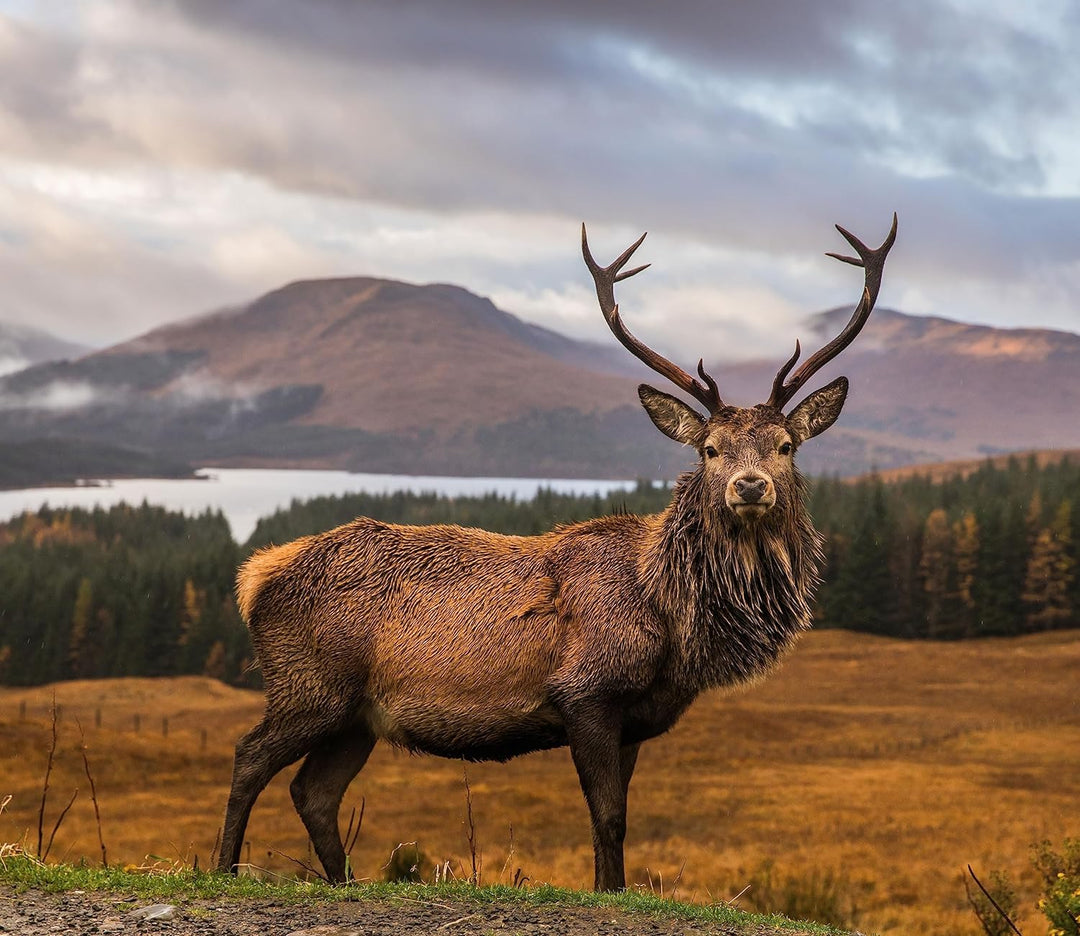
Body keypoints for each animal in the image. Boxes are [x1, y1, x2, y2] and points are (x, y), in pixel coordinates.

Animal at [217, 214, 897, 890]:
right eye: (710, 449)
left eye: (785, 446)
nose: (749, 486)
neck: (671, 618)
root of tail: (255, 576)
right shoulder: (585, 692)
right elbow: (608, 815)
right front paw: (610, 889)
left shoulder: (635, 718)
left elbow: (615, 818)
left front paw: (609, 886)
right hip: (310, 684)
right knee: (250, 756)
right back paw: (225, 868)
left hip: (356, 716)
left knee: (314, 792)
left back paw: (343, 881)